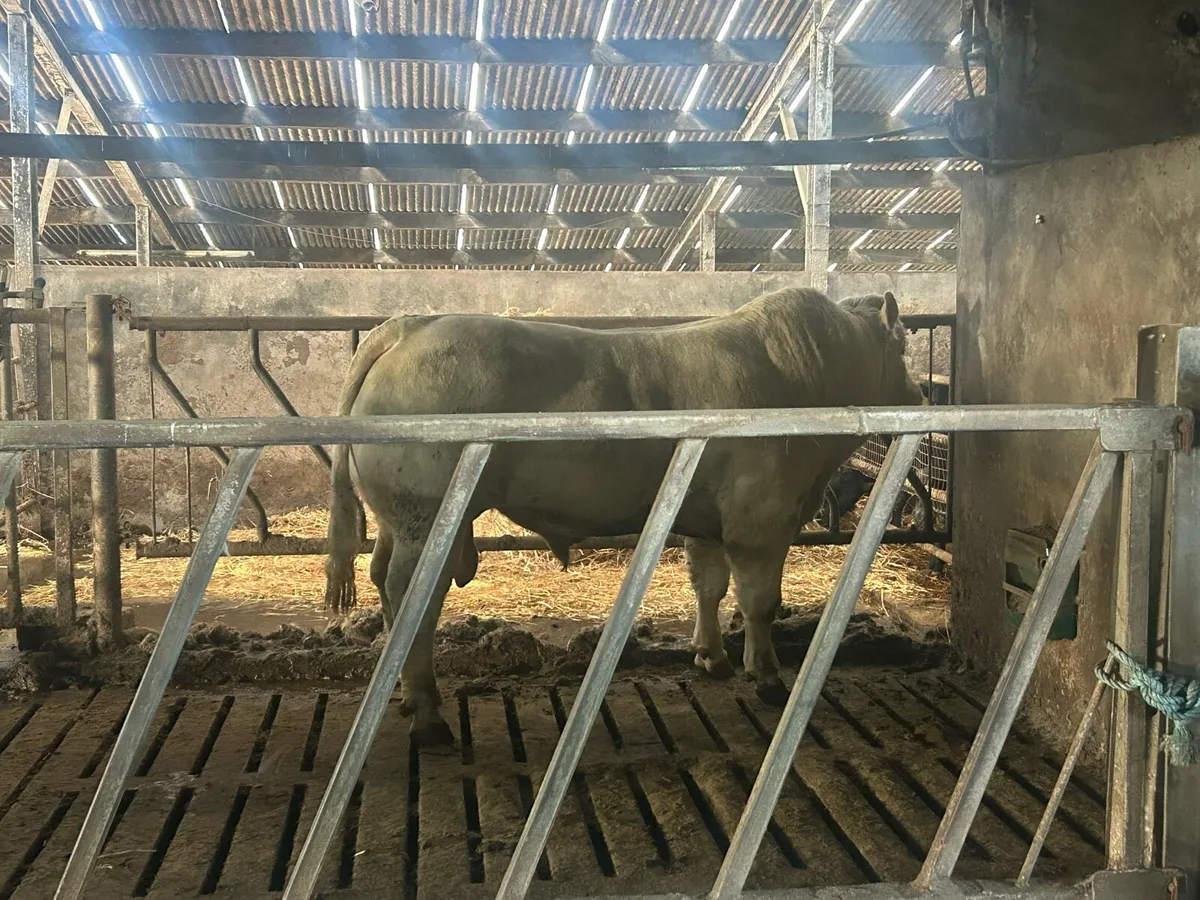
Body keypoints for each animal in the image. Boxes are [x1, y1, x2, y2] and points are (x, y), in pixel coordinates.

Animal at [324, 287, 924, 746]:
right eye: (902, 348)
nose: (920, 397)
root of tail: (410, 325)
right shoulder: (761, 518)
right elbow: (760, 601)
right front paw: (768, 676)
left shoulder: (706, 518)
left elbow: (709, 585)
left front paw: (710, 656)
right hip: (426, 516)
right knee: (411, 596)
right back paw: (427, 713)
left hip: (397, 521)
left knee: (382, 576)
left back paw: (403, 696)